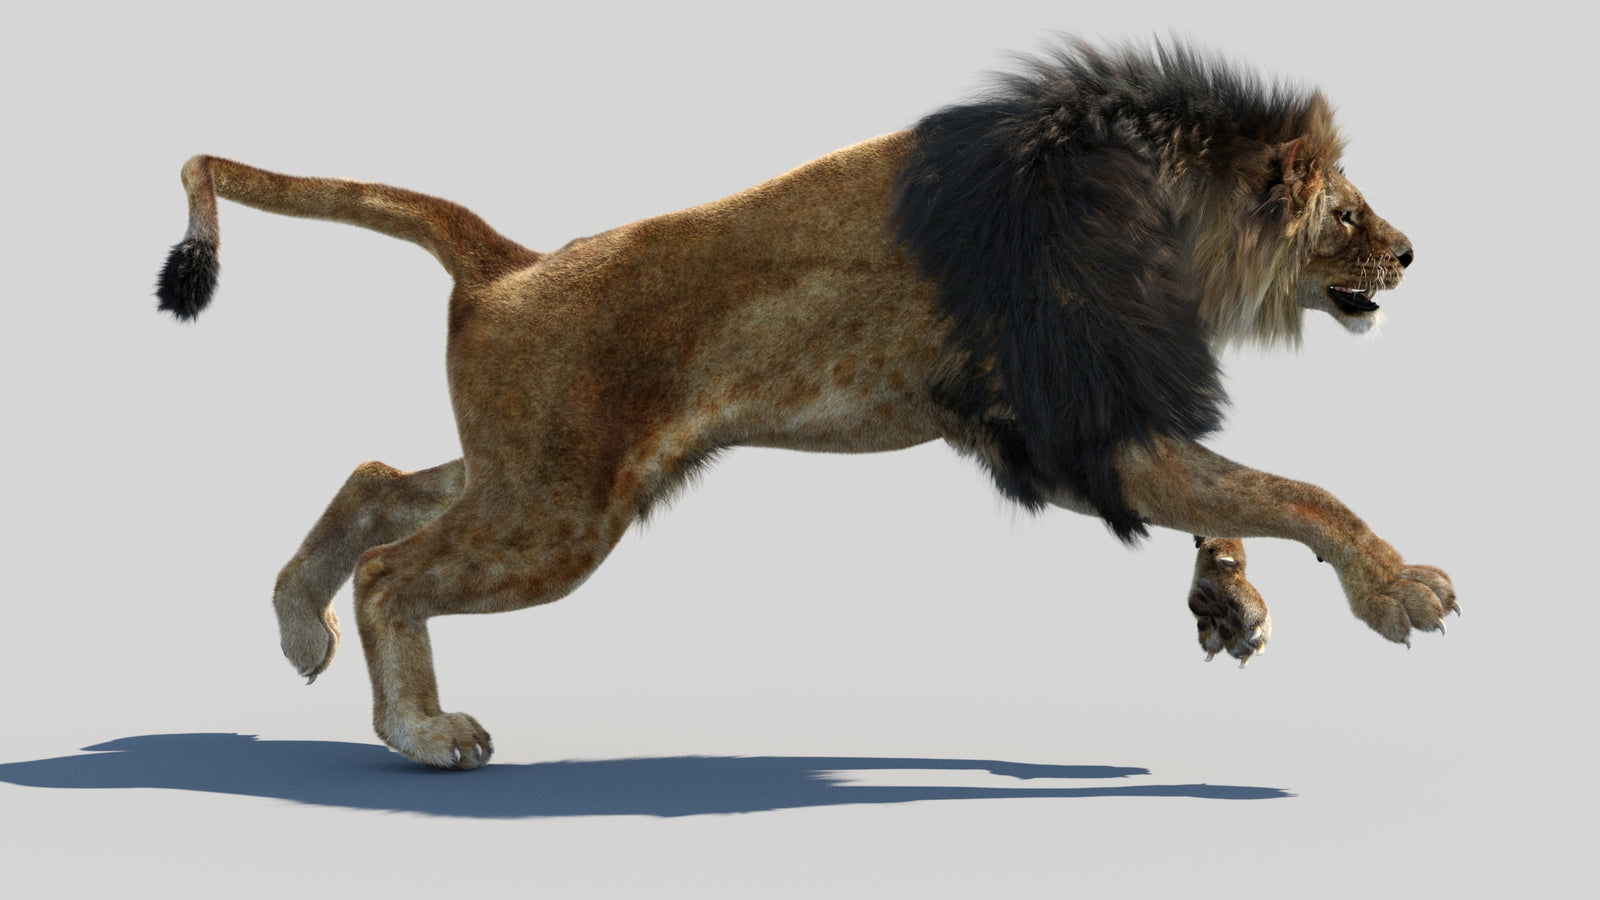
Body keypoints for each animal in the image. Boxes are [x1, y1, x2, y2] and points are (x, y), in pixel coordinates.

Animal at [154, 40, 1456, 769]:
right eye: (1344, 211)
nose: (1406, 256)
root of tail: (509, 262)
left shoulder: (1071, 424)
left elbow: (1238, 497)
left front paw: (1228, 601)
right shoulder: (1074, 417)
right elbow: (1297, 489)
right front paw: (1399, 589)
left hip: (538, 470)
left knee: (378, 483)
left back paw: (296, 626)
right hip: (558, 514)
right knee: (394, 568)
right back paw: (422, 733)